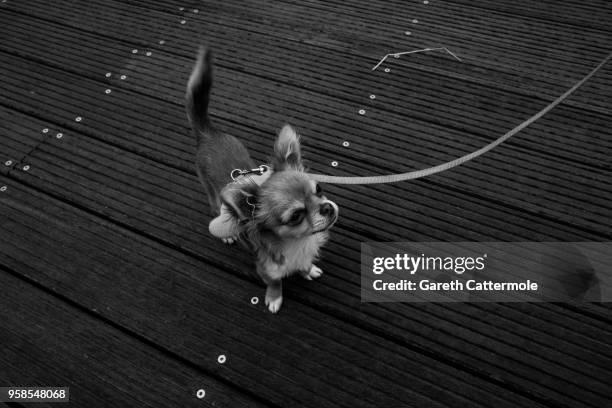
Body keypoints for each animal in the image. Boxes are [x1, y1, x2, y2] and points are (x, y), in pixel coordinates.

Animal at [186, 46, 340, 312]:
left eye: (319, 189)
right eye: (296, 216)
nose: (328, 208)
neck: (299, 242)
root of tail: (208, 133)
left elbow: (304, 265)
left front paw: (307, 269)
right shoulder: (266, 270)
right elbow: (276, 282)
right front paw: (274, 298)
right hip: (212, 194)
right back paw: (227, 233)